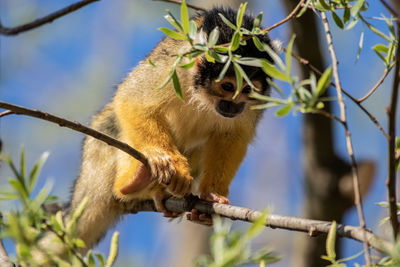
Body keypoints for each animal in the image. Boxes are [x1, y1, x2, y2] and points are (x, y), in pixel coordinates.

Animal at [68, 7, 276, 252]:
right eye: (228, 86)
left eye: (248, 90)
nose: (235, 106)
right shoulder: (172, 63)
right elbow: (132, 99)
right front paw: (166, 160)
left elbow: (232, 135)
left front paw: (212, 194)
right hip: (95, 162)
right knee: (110, 124)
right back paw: (132, 182)